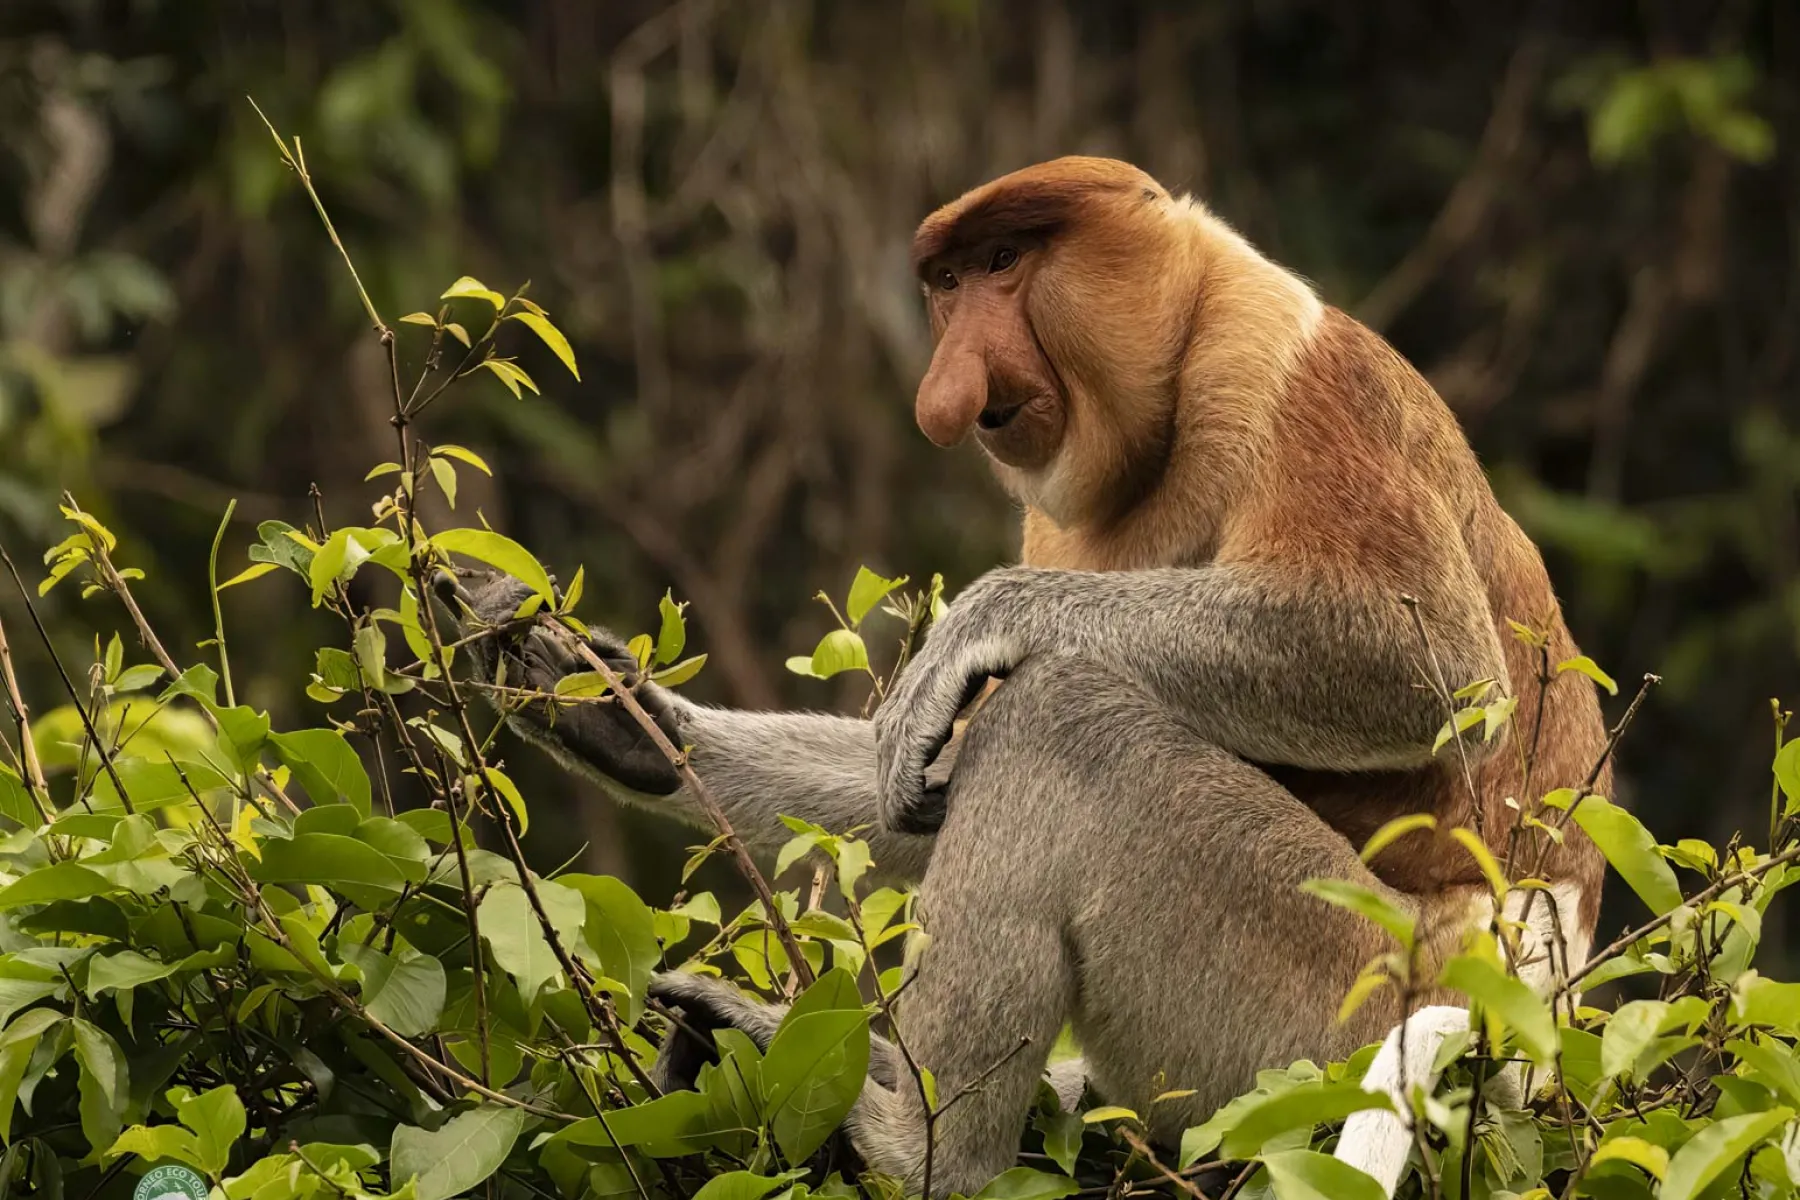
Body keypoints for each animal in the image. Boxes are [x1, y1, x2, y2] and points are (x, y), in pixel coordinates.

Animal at [438, 156, 1609, 1197]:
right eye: (949, 285)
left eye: (1006, 262)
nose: (948, 391)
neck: (1177, 390)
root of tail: (1524, 1020)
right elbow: (918, 792)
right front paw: (604, 708)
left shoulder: (1296, 374)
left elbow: (1435, 667)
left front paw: (979, 625)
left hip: (1328, 983)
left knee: (1067, 721)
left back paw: (908, 1147)